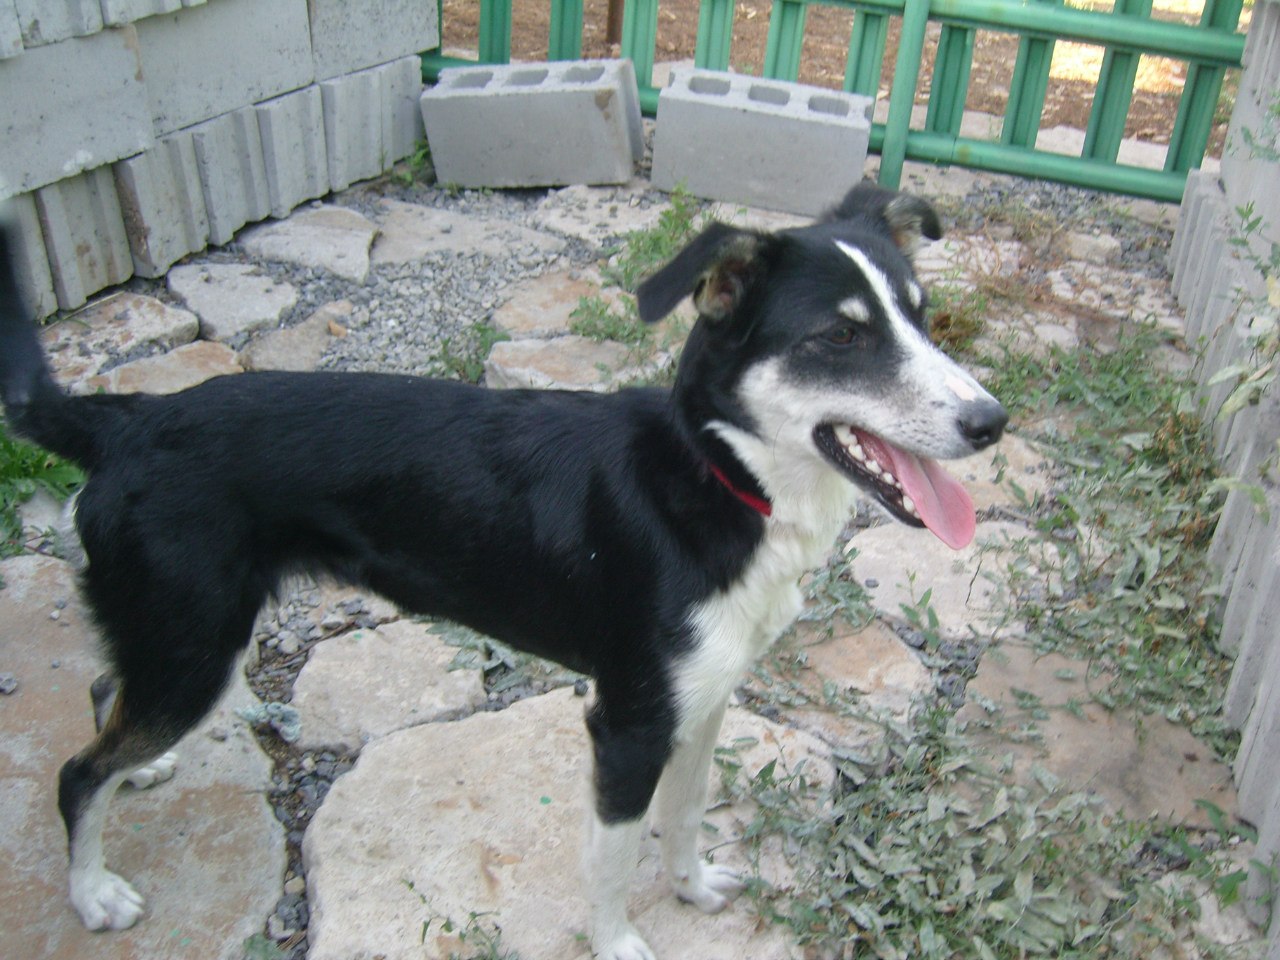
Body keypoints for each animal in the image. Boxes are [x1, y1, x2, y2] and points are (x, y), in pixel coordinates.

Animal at [0, 183, 1005, 960]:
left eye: (921, 317)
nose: (992, 422)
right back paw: (93, 892)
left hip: (177, 637)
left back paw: (148, 771)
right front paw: (620, 943)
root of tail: (125, 420)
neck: (717, 478)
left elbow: (684, 815)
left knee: (104, 692)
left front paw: (689, 888)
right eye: (841, 338)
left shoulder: (706, 700)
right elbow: (612, 859)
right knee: (77, 774)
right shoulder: (628, 723)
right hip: (194, 642)